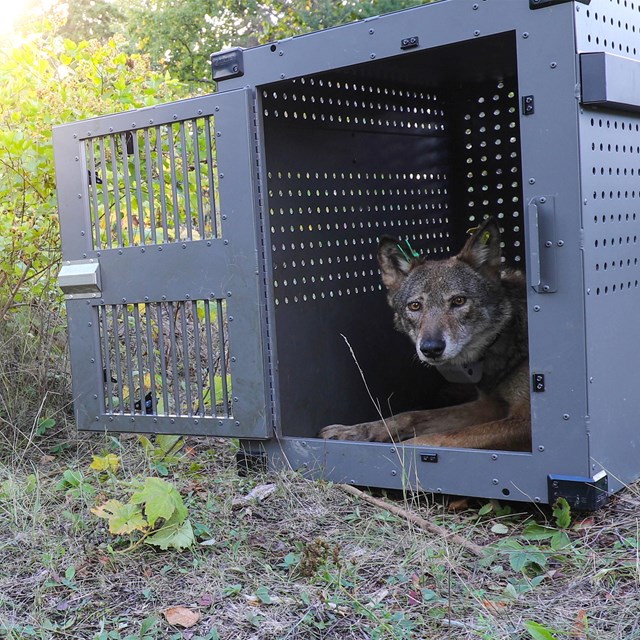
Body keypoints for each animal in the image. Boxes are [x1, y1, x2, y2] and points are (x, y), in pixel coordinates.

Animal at [318, 218, 528, 452]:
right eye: (415, 306)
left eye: (458, 301)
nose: (431, 349)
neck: (509, 340)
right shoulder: (489, 405)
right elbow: (409, 416)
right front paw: (352, 432)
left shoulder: (526, 422)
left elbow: (442, 437)